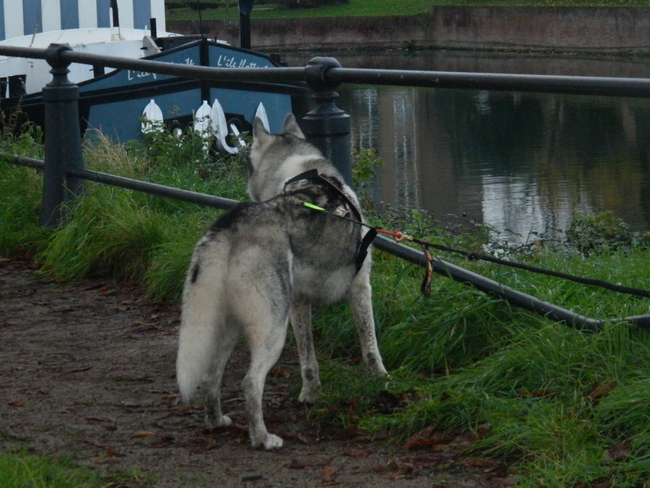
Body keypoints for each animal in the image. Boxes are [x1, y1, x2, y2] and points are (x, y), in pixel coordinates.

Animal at [175, 113, 384, 450]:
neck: (299, 172)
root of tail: (232, 226)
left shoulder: (299, 303)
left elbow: (308, 359)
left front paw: (310, 394)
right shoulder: (359, 288)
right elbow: (370, 345)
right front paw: (380, 378)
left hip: (229, 327)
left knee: (210, 377)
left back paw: (216, 421)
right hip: (273, 328)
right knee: (250, 382)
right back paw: (262, 438)